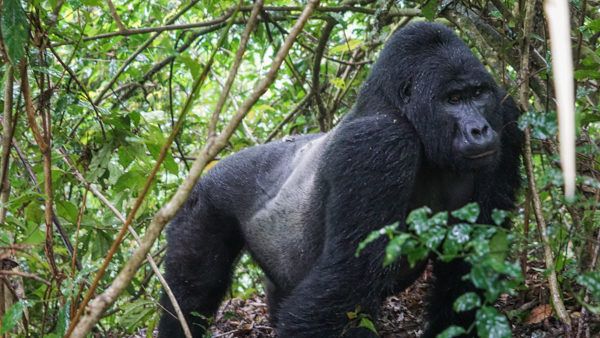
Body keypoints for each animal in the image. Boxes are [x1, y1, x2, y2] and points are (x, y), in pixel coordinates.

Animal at [158, 22, 520, 336]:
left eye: (478, 94)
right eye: (453, 100)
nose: (480, 129)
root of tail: (207, 170)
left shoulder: (506, 115)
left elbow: (472, 265)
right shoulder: (378, 144)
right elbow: (346, 281)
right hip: (203, 204)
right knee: (194, 291)